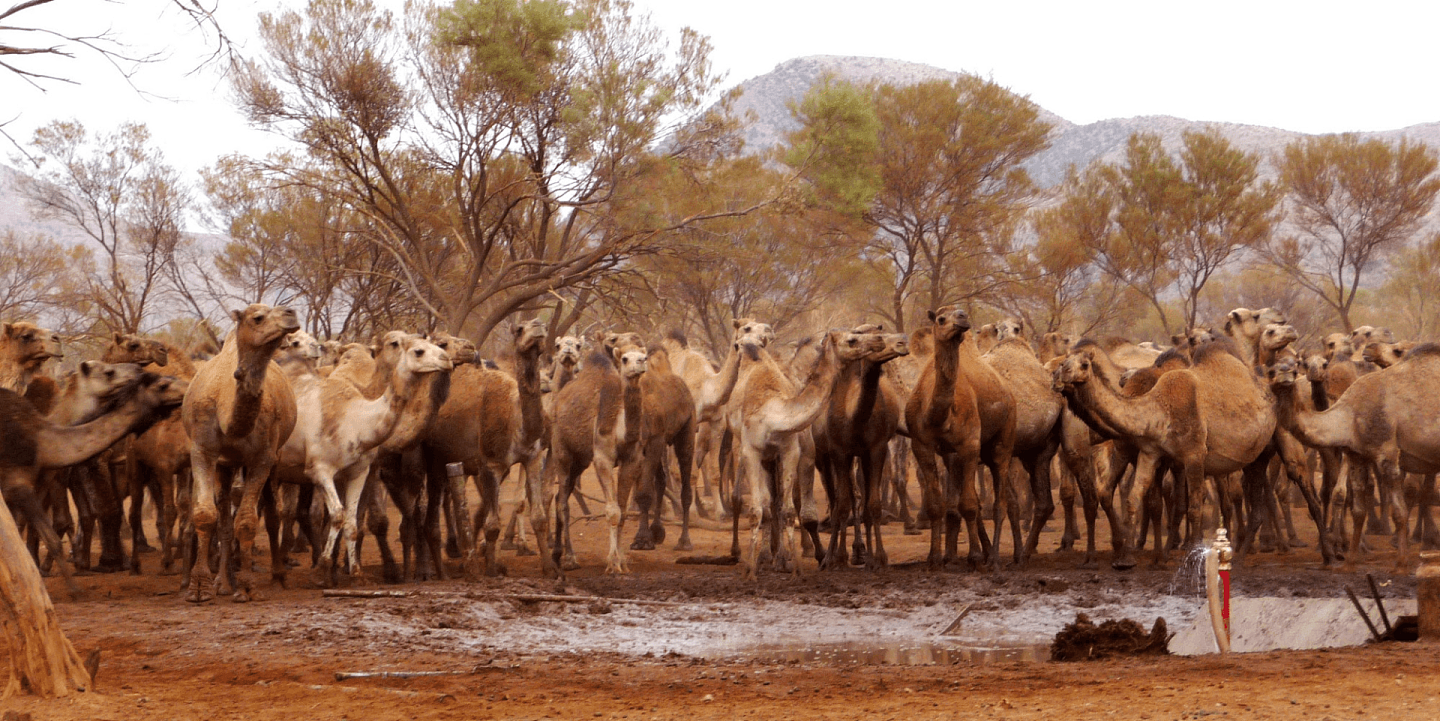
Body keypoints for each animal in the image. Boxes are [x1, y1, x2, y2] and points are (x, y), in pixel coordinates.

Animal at [182, 303, 300, 601]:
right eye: (257, 318)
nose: (291, 313)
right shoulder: (202, 451)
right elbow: (205, 515)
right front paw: (198, 587)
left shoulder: (263, 457)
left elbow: (247, 521)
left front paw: (247, 587)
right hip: (225, 466)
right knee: (224, 518)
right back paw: (223, 583)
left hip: (273, 458)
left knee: (271, 515)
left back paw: (277, 576)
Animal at [904, 306, 1019, 569]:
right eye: (940, 319)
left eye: (961, 314)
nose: (962, 318)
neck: (938, 416)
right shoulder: (922, 446)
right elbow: (938, 506)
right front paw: (934, 558)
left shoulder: (969, 444)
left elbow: (968, 504)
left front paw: (975, 557)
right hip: (961, 455)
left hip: (1004, 440)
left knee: (1000, 502)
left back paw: (994, 558)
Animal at [1267, 345, 1440, 569]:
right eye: (1271, 371)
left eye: (1295, 369)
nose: (1286, 374)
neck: (1349, 414)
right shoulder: (1357, 455)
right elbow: (1358, 510)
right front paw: (1350, 560)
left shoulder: (1387, 453)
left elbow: (1399, 511)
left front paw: (1401, 562)